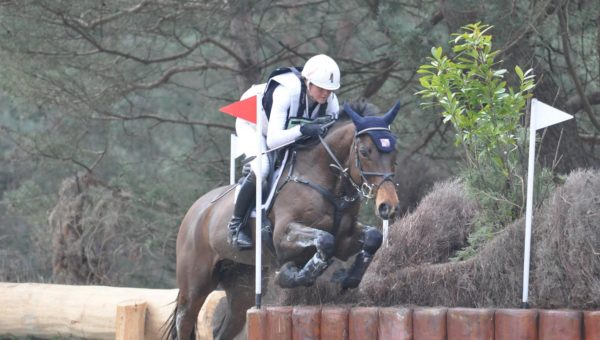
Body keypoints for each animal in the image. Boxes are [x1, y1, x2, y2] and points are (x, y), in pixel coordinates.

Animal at [162, 101, 400, 340]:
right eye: (365, 151)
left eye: (394, 151)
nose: (388, 206)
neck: (323, 178)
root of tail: (195, 211)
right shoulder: (284, 236)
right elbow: (324, 241)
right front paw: (291, 275)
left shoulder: (346, 237)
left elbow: (372, 237)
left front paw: (346, 278)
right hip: (195, 286)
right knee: (185, 321)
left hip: (242, 287)